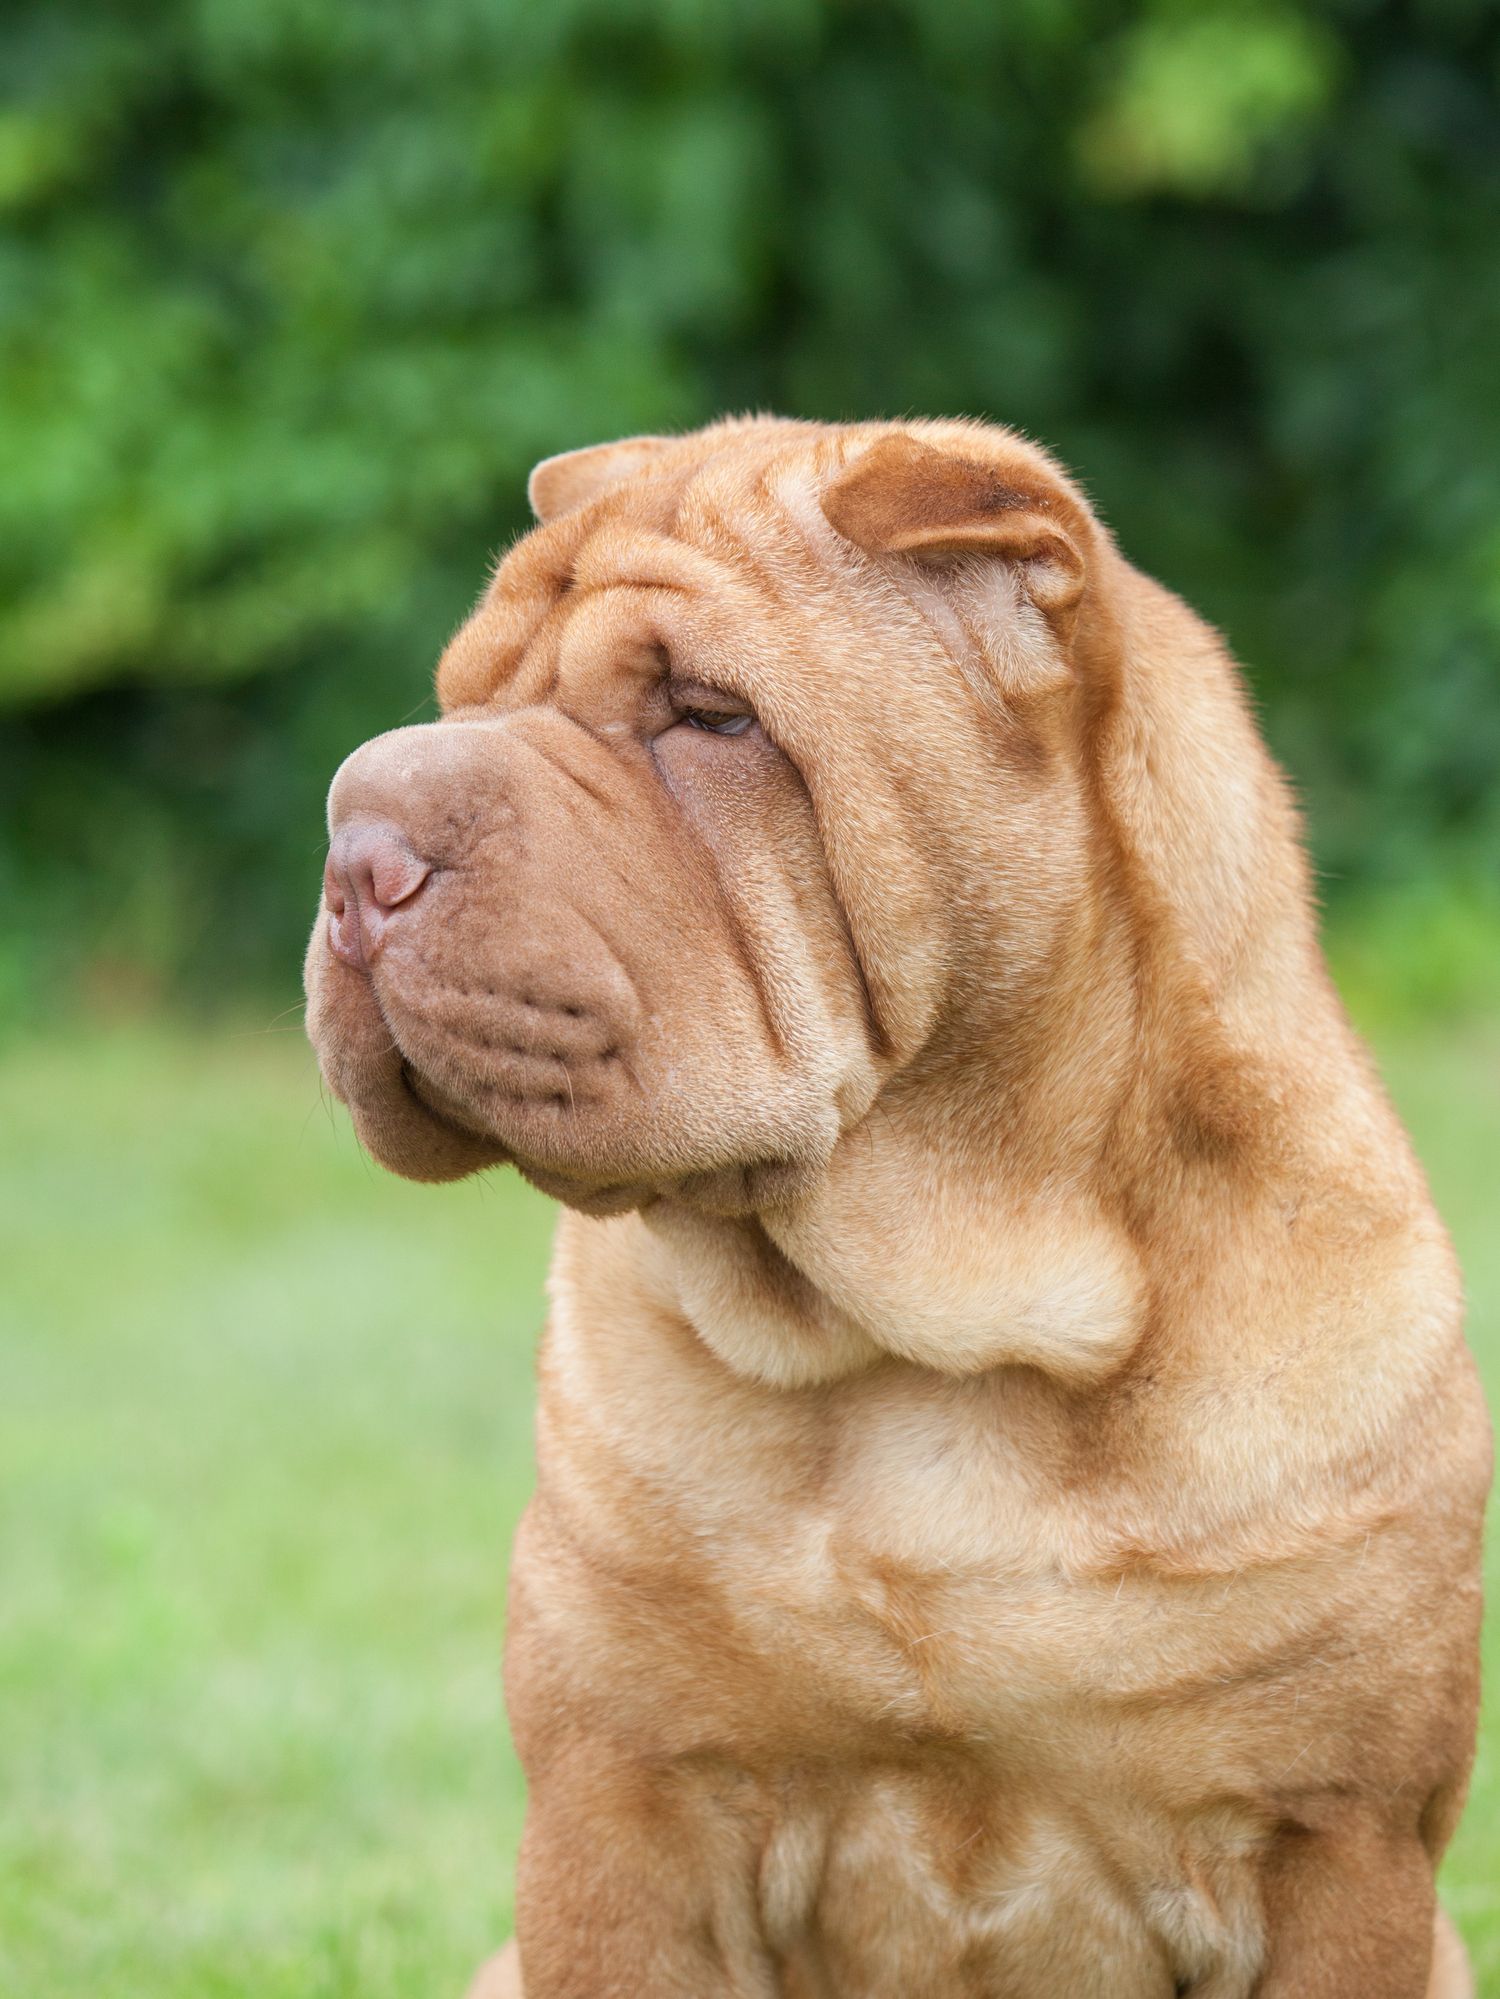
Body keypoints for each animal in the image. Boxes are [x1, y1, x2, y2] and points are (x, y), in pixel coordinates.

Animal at [302, 413, 1496, 1991]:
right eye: (461, 698)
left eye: (710, 716)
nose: (358, 836)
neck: (941, 1337)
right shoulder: (622, 1806)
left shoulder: (1335, 1840)